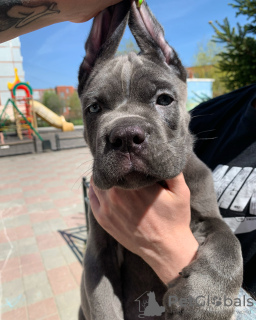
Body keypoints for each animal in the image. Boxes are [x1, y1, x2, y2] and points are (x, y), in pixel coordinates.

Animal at [77, 1, 243, 318]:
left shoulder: (207, 213)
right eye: (93, 108)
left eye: (164, 99)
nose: (125, 135)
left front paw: (206, 298)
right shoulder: (98, 252)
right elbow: (102, 302)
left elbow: (229, 241)